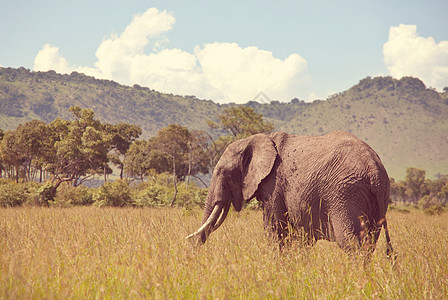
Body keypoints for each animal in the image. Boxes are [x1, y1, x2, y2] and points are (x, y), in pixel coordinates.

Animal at [187, 130, 394, 256]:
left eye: (223, 172)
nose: (192, 254)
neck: (256, 139)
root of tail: (374, 168)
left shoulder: (274, 185)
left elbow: (274, 231)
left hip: (345, 194)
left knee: (351, 244)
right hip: (377, 198)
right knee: (369, 243)